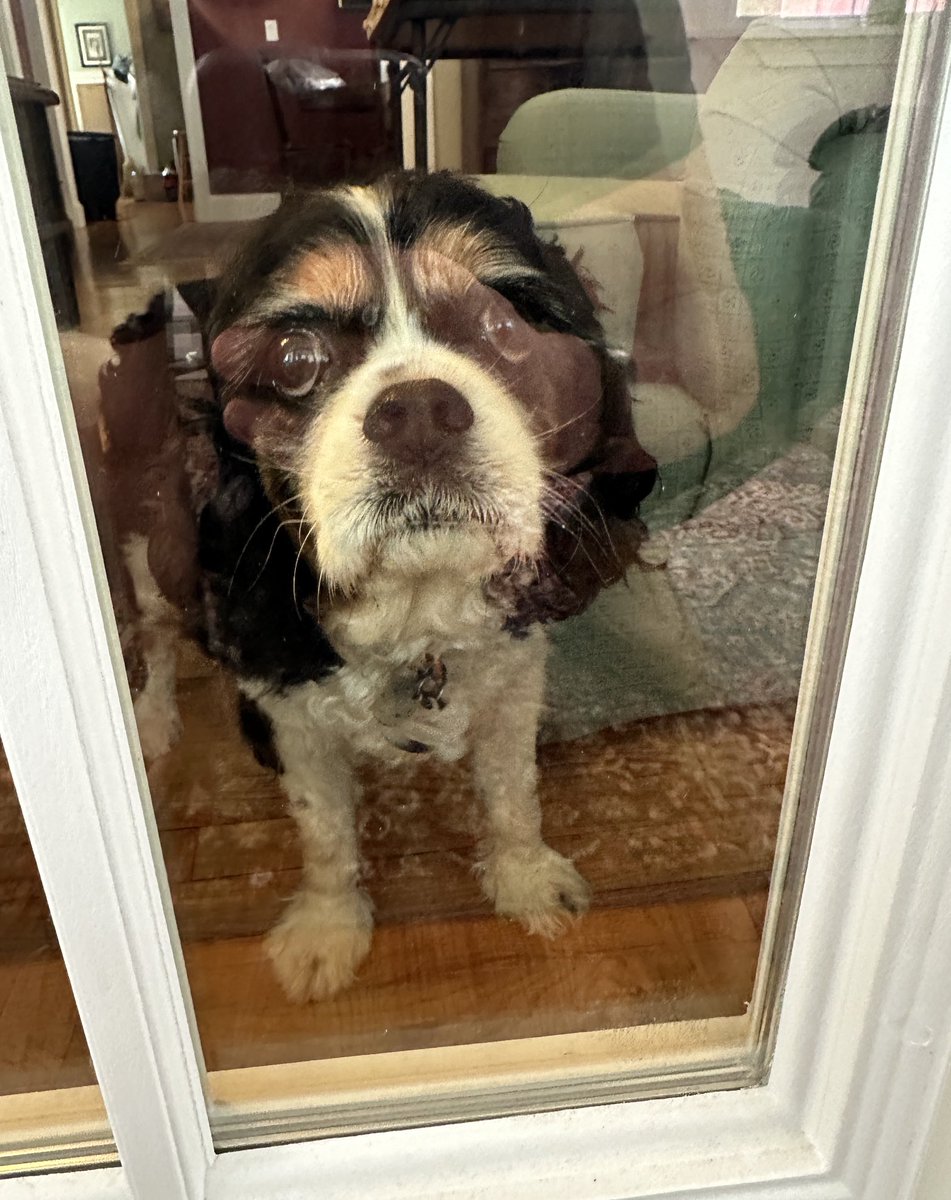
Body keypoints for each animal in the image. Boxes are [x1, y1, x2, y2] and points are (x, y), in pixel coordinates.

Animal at [109, 169, 653, 998]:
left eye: (507, 330)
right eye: (293, 359)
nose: (420, 411)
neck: (415, 623)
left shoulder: (513, 679)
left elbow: (513, 796)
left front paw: (526, 879)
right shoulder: (293, 722)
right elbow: (327, 834)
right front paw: (326, 933)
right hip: (152, 549)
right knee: (160, 634)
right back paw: (151, 719)